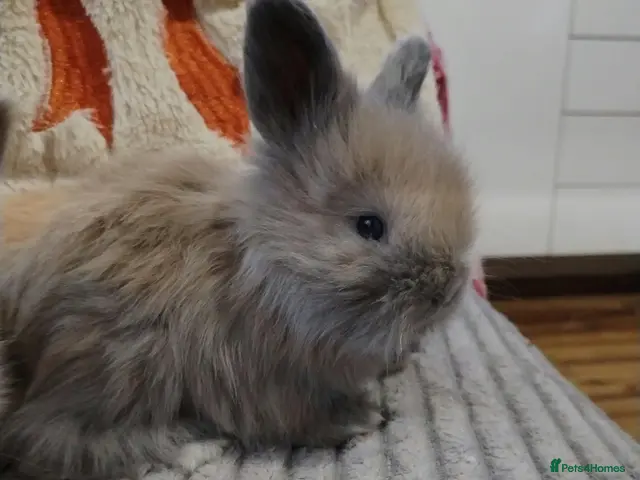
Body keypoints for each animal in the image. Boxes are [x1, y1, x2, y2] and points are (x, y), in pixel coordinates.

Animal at [0, 0, 475, 478]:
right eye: (368, 226)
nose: (447, 293)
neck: (267, 268)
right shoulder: (265, 384)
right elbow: (300, 416)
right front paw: (362, 416)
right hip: (120, 366)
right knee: (49, 437)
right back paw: (195, 448)